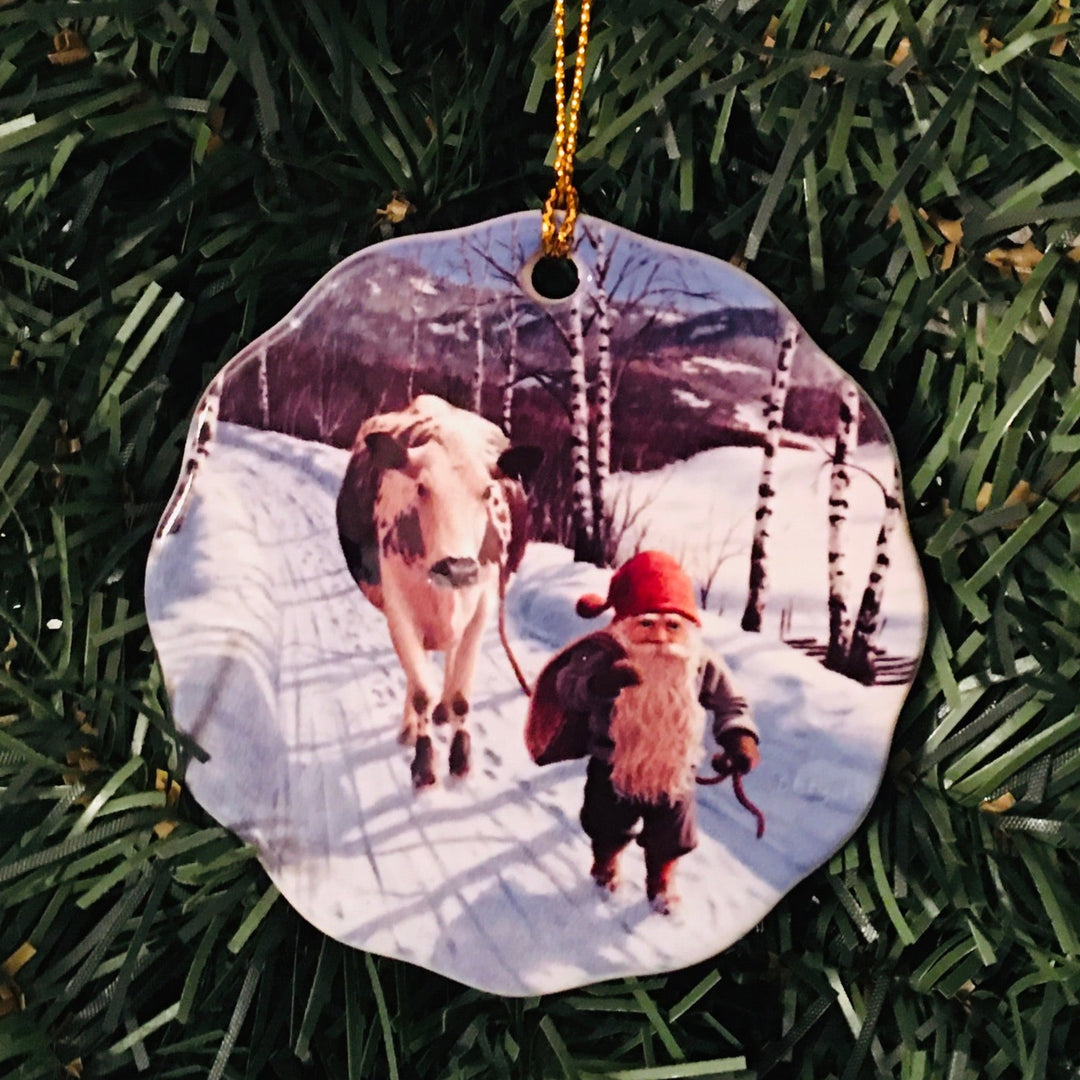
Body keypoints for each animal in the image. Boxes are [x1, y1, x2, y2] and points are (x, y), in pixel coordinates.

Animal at [334, 393, 540, 790]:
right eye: (421, 488)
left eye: (487, 491)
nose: (457, 567)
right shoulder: (398, 607)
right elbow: (420, 691)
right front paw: (423, 762)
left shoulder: (482, 603)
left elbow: (460, 695)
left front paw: (460, 757)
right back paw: (410, 728)